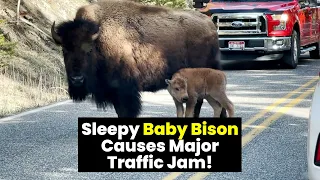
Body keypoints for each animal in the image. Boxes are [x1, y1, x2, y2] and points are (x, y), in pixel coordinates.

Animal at [50, 0, 225, 117]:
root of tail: (210, 26)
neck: (99, 39)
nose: (77, 79)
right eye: (65, 49)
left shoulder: (125, 91)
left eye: (89, 49)